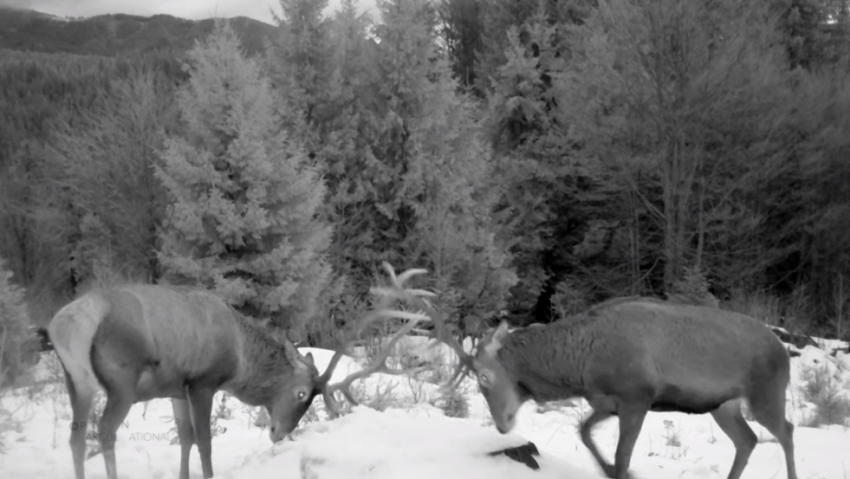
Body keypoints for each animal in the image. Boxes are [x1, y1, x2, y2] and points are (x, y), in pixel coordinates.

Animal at [49, 270, 428, 479]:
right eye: (301, 393)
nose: (279, 434)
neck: (240, 359)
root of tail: (67, 324)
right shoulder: (203, 381)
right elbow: (204, 441)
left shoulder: (175, 388)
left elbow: (184, 437)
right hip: (121, 380)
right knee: (105, 431)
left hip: (77, 381)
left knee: (76, 438)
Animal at [448, 296, 800, 479]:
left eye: (483, 377)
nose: (502, 425)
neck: (582, 366)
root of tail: (782, 349)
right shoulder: (607, 402)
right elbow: (583, 431)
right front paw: (609, 469)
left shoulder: (637, 397)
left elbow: (622, 456)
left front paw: (623, 472)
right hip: (722, 406)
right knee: (748, 439)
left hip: (766, 392)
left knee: (786, 430)